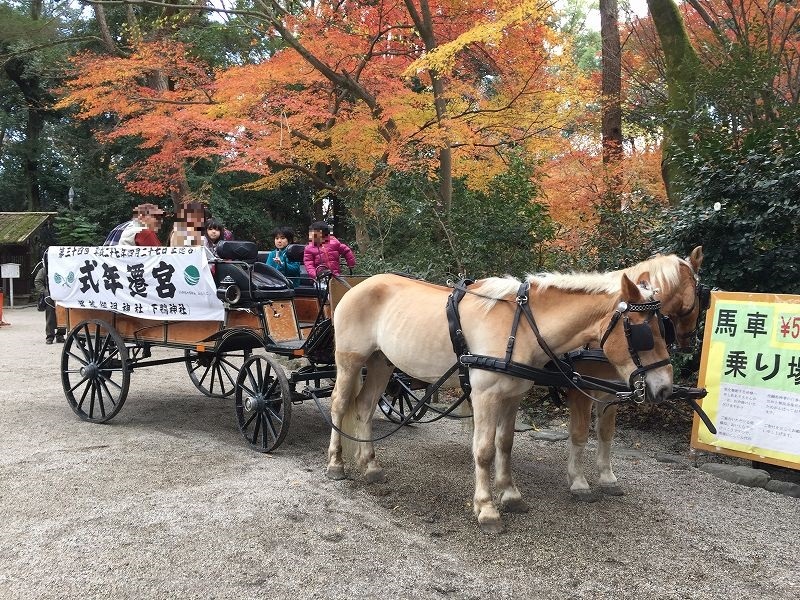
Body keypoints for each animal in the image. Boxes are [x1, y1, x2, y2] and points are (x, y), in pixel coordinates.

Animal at [324, 260, 676, 532]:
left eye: (665, 328)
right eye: (643, 333)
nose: (665, 388)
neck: (520, 328)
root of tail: (360, 285)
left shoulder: (512, 396)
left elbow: (504, 445)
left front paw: (510, 495)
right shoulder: (485, 396)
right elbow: (483, 451)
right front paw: (486, 509)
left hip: (381, 362)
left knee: (365, 408)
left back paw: (370, 465)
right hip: (350, 360)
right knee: (339, 406)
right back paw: (336, 463)